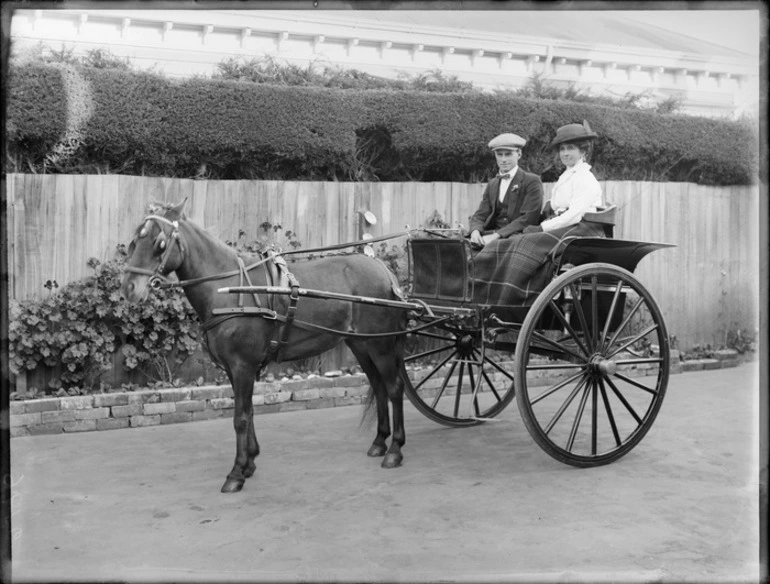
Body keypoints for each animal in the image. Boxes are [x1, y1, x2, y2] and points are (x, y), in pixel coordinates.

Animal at [120, 201, 408, 492]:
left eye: (160, 242)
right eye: (135, 240)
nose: (130, 288)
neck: (230, 289)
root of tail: (384, 271)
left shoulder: (242, 366)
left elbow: (240, 417)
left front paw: (236, 473)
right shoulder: (234, 369)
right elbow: (248, 412)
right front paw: (249, 462)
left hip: (381, 345)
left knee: (394, 388)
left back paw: (395, 449)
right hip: (361, 345)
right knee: (379, 386)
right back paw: (379, 442)